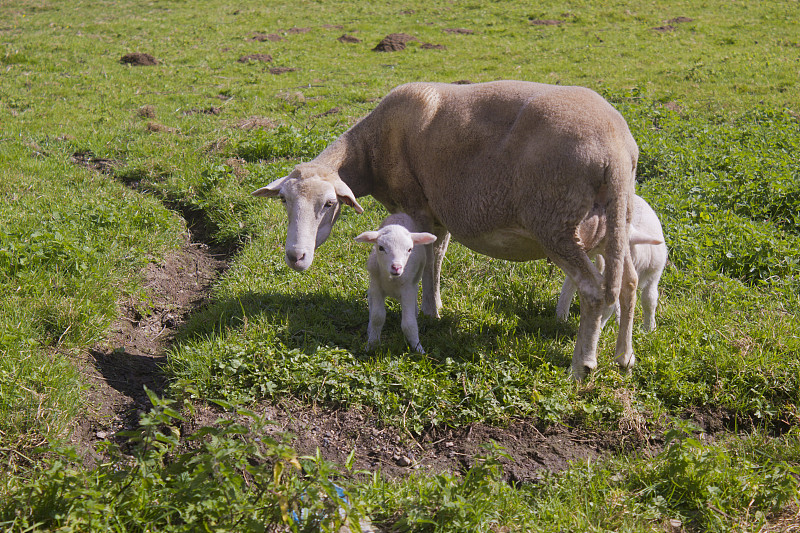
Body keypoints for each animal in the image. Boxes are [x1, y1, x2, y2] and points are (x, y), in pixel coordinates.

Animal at [356, 212, 438, 354]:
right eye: (381, 248)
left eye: (409, 249)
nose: (396, 267)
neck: (391, 279)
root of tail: (400, 214)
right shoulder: (376, 286)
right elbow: (377, 317)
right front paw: (372, 344)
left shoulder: (408, 289)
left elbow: (409, 323)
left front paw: (418, 349)